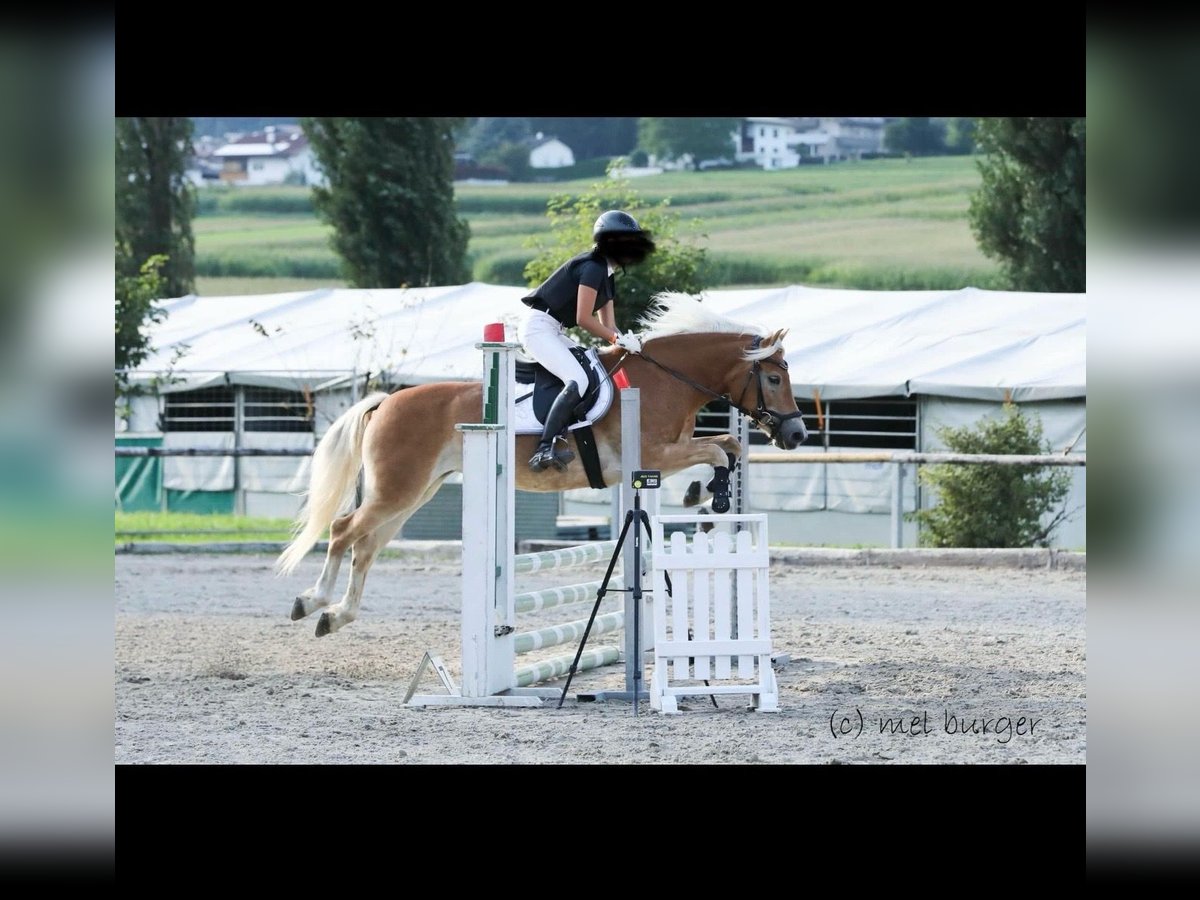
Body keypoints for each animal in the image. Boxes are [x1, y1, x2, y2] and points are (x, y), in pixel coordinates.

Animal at [276, 292, 811, 638]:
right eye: (773, 377)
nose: (797, 435)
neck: (667, 380)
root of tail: (386, 401)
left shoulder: (670, 451)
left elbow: (728, 445)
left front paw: (706, 495)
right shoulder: (653, 455)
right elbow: (720, 450)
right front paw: (710, 495)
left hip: (414, 492)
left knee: (366, 546)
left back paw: (335, 615)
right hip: (397, 489)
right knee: (344, 530)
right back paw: (312, 601)